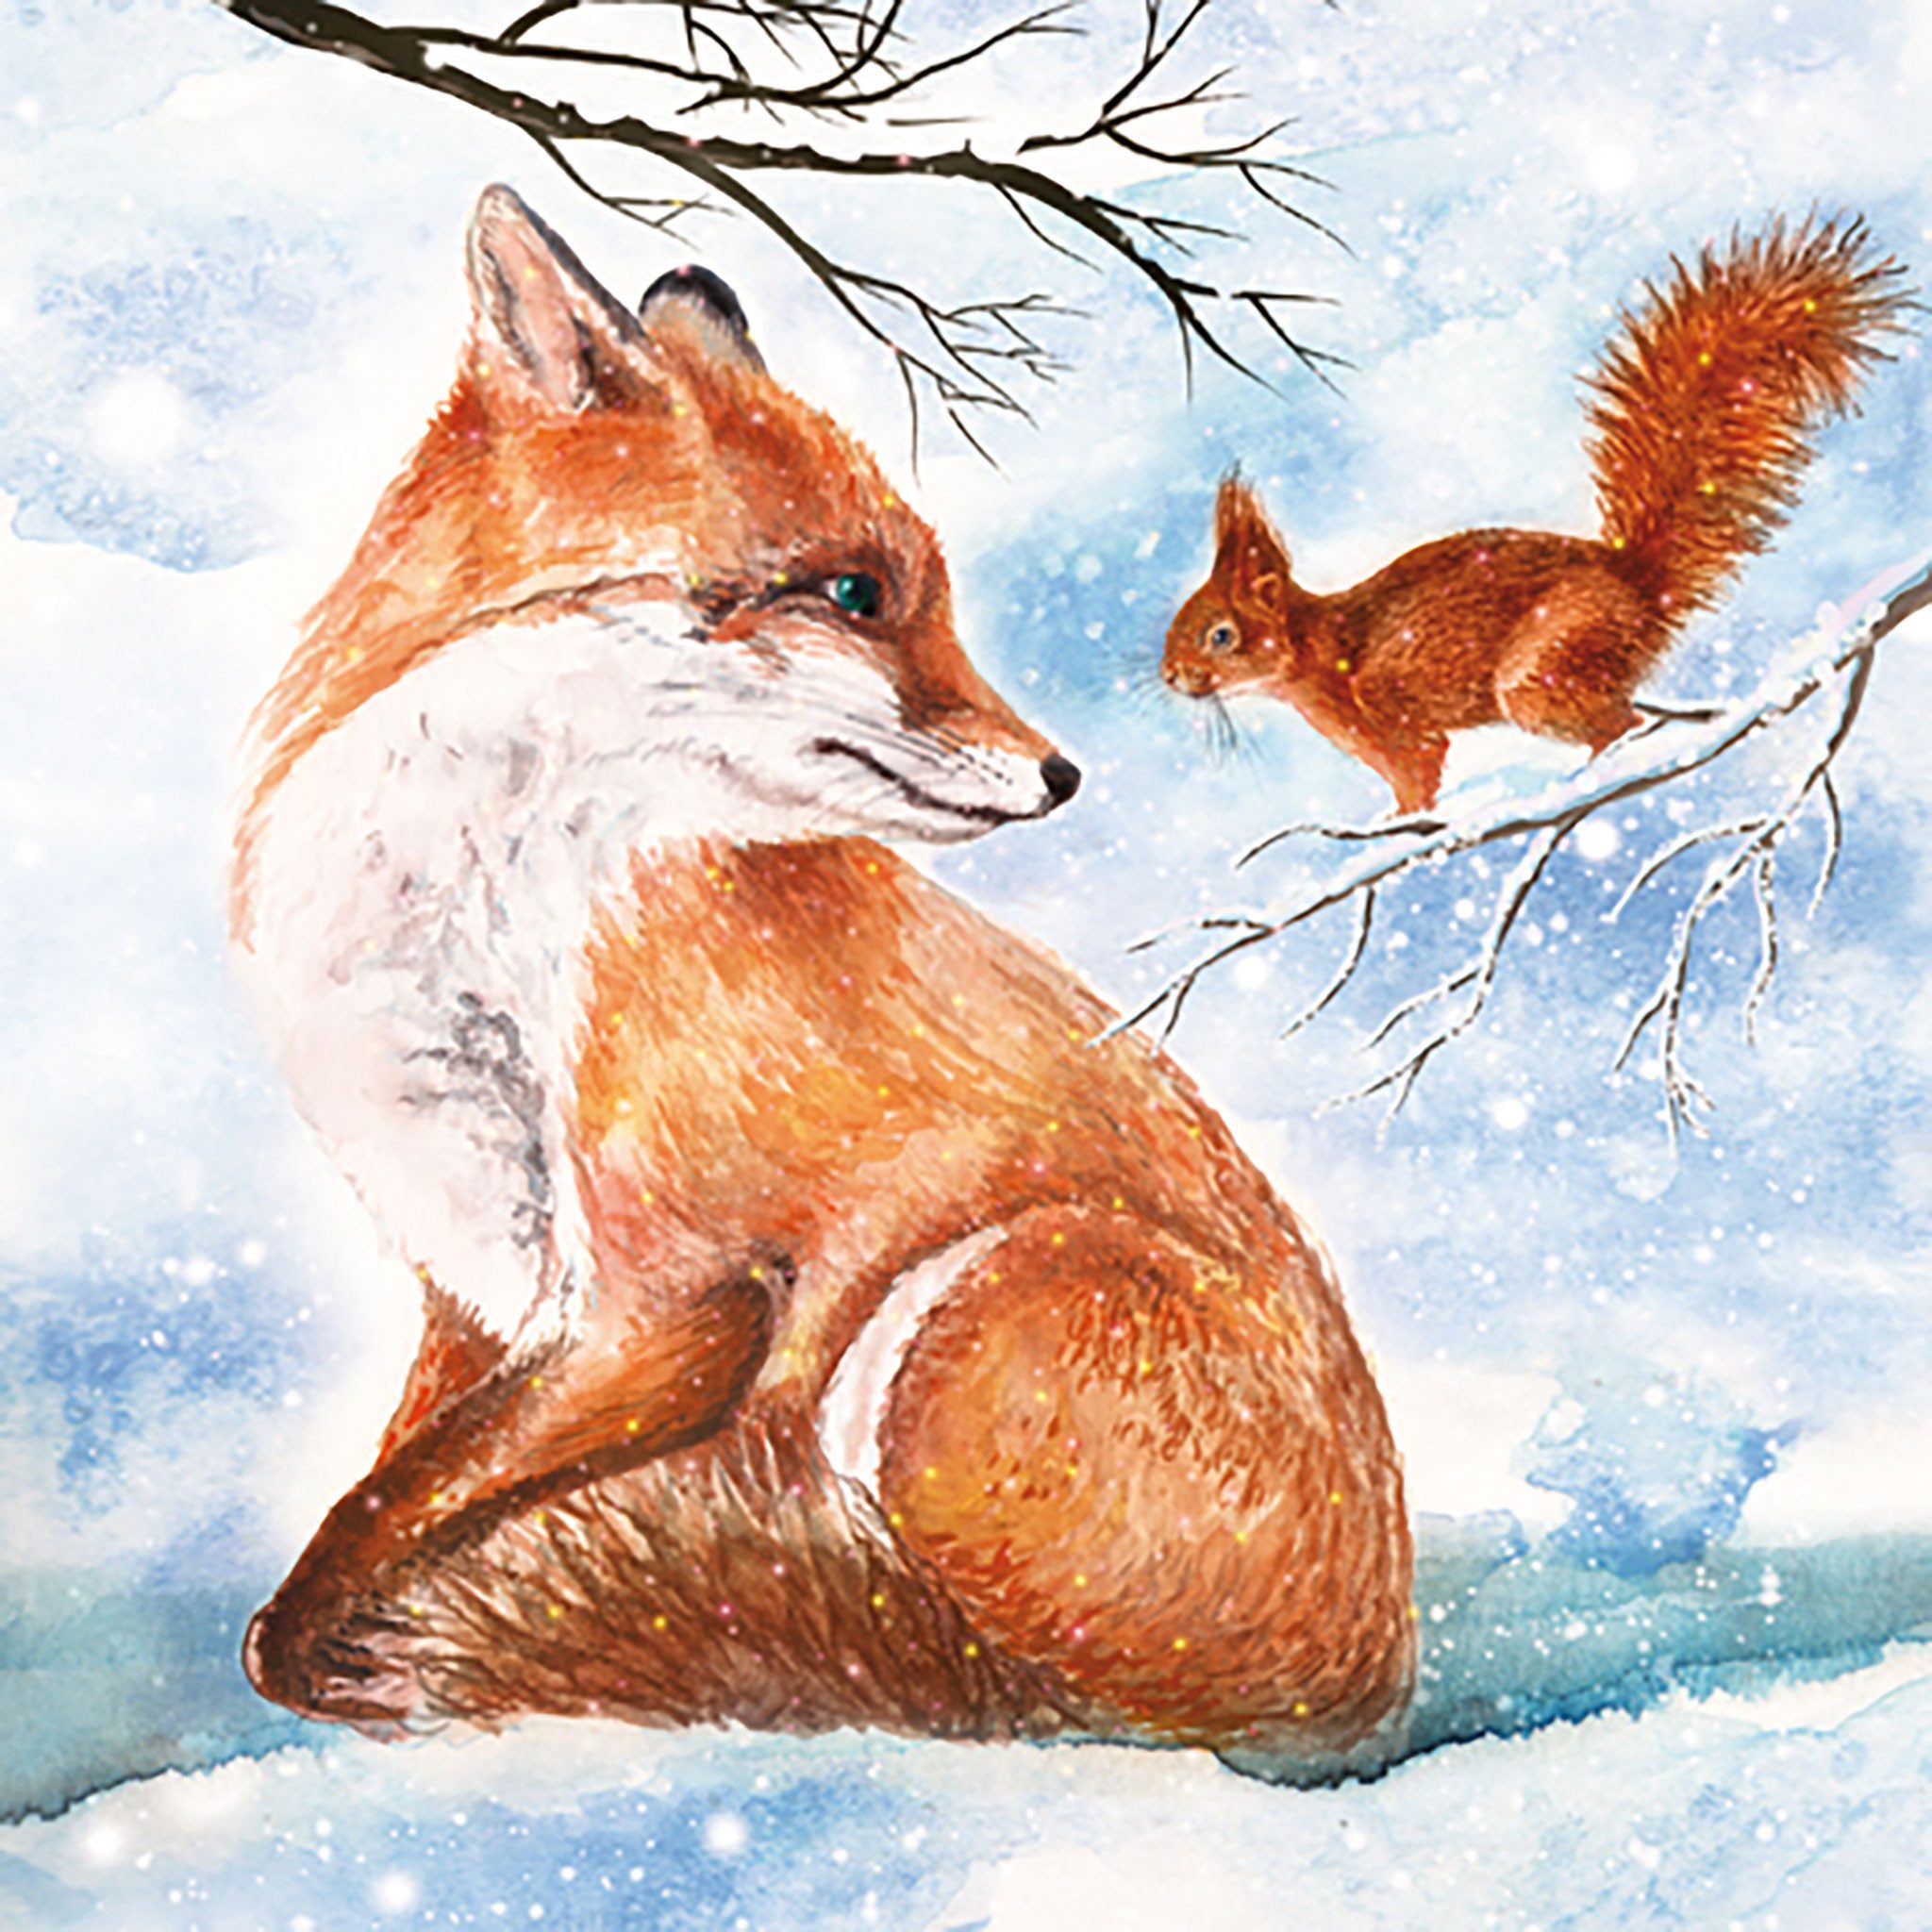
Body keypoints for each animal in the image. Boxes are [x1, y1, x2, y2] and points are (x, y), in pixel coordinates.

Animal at [230, 186, 1413, 1764]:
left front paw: (344, 1649)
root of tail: (1377, 1678)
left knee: (988, 1688)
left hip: (984, 1308)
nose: (1061, 775)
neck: (483, 907)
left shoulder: (671, 1299)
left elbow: (373, 1532)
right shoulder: (471, 1282)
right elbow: (393, 1480)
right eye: (854, 592)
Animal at [1162, 217, 1909, 813]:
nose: (1169, 676)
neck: (1316, 654)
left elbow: (1417, 774)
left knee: (1619, 722)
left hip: (1548, 663)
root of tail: (1638, 583)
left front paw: (1399, 826)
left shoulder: (1393, 721)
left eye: (1220, 635)